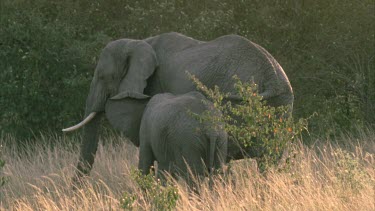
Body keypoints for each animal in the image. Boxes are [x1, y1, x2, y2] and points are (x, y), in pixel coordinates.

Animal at [63, 32, 296, 179]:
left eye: (103, 77)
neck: (138, 42)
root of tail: (272, 77)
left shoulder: (155, 83)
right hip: (281, 106)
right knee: (268, 161)